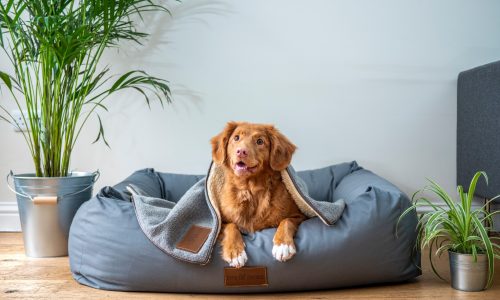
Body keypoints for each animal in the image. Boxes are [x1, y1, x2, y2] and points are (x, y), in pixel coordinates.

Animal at [210, 121, 306, 268]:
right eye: (236, 138)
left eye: (260, 141)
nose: (241, 152)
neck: (250, 189)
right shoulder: (220, 222)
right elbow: (231, 226)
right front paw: (235, 252)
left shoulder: (299, 215)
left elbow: (286, 221)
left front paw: (283, 245)